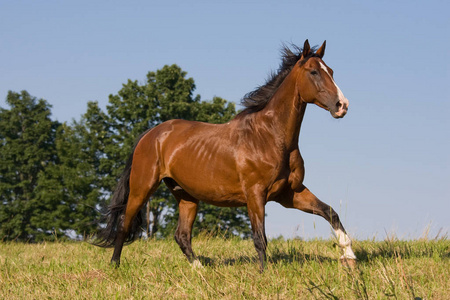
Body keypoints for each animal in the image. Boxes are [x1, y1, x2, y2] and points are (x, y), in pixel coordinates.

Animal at [93, 38, 356, 270]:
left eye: (331, 71)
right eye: (313, 72)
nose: (342, 105)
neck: (271, 137)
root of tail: (151, 134)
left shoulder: (289, 193)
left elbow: (330, 212)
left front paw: (350, 256)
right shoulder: (255, 195)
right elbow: (259, 238)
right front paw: (264, 273)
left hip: (186, 195)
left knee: (182, 235)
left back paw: (200, 269)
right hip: (142, 187)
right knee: (125, 225)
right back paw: (115, 266)